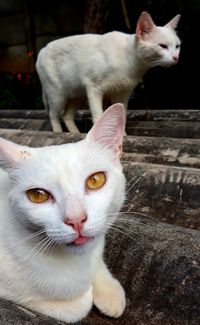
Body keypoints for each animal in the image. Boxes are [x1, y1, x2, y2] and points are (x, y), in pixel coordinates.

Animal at [0, 103, 126, 322]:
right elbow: (78, 306)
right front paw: (87, 294)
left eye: (96, 180)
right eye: (38, 195)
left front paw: (110, 291)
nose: (76, 219)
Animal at [36, 11, 181, 133]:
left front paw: (122, 136)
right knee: (53, 115)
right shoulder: (93, 88)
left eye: (177, 46)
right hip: (58, 96)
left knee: (66, 116)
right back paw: (58, 133)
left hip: (75, 95)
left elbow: (121, 117)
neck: (130, 61)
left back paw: (75, 133)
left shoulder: (123, 93)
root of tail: (42, 49)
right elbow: (98, 115)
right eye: (163, 46)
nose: (176, 58)